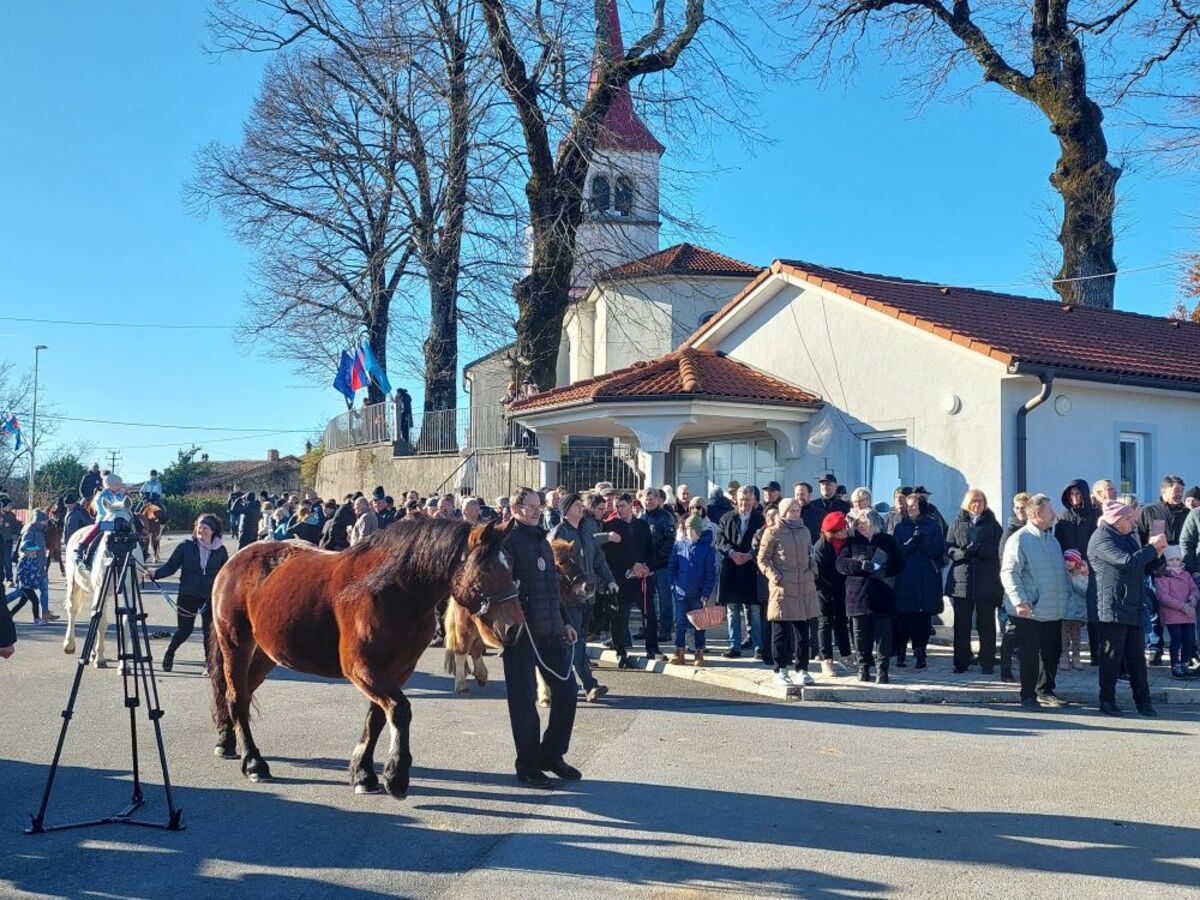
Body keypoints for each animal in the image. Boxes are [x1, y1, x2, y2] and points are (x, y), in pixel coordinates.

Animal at [62, 525, 145, 669]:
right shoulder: (102, 589)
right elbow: (101, 622)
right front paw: (100, 658)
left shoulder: (129, 591)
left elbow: (126, 621)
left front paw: (124, 665)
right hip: (74, 585)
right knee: (73, 610)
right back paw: (69, 644)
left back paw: (91, 653)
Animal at [208, 517, 525, 799]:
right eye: (486, 567)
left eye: (510, 566)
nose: (514, 628)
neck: (390, 590)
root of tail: (235, 560)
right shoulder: (361, 668)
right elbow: (400, 709)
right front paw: (395, 776)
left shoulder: (397, 671)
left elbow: (377, 718)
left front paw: (363, 773)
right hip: (235, 642)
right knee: (236, 696)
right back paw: (253, 762)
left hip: (267, 653)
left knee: (243, 692)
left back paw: (227, 740)